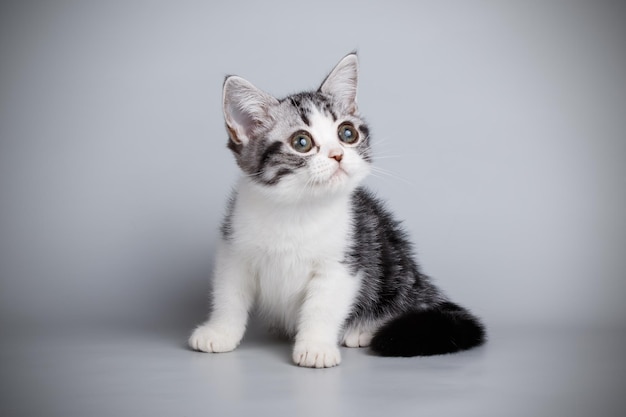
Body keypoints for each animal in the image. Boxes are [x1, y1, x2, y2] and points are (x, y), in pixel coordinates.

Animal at [188, 52, 486, 368]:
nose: (338, 154)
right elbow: (229, 294)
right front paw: (219, 332)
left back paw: (363, 330)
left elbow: (322, 307)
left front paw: (315, 347)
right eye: (302, 142)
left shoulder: (344, 259)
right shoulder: (235, 249)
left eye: (347, 133)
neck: (295, 209)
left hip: (390, 266)